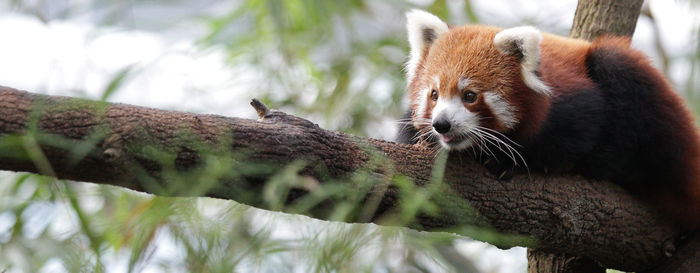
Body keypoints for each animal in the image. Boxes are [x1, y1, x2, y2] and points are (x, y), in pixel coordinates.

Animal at [396, 9, 700, 228]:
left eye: (469, 95)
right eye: (434, 95)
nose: (441, 124)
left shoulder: (577, 104)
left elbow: (577, 138)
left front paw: (511, 161)